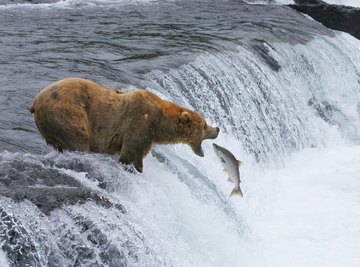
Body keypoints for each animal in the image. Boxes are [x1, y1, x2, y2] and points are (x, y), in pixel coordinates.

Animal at [31, 77, 221, 174]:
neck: (160, 122)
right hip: (68, 114)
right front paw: (136, 168)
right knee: (79, 139)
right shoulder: (140, 122)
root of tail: (35, 102)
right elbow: (131, 153)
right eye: (205, 125)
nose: (217, 129)